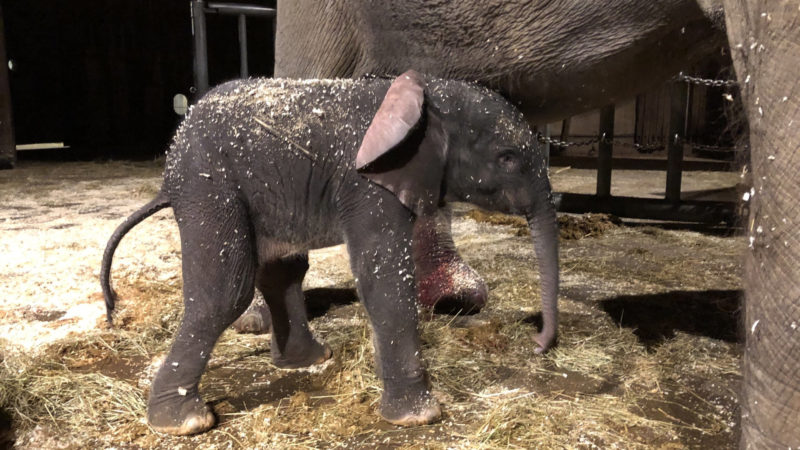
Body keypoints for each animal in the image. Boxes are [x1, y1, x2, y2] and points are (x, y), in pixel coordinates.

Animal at [103, 70, 560, 436]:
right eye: (507, 158)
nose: (537, 344)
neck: (428, 92)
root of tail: (167, 174)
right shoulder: (367, 185)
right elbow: (384, 280)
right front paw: (420, 417)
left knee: (283, 271)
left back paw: (310, 359)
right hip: (209, 188)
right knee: (225, 292)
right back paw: (185, 423)